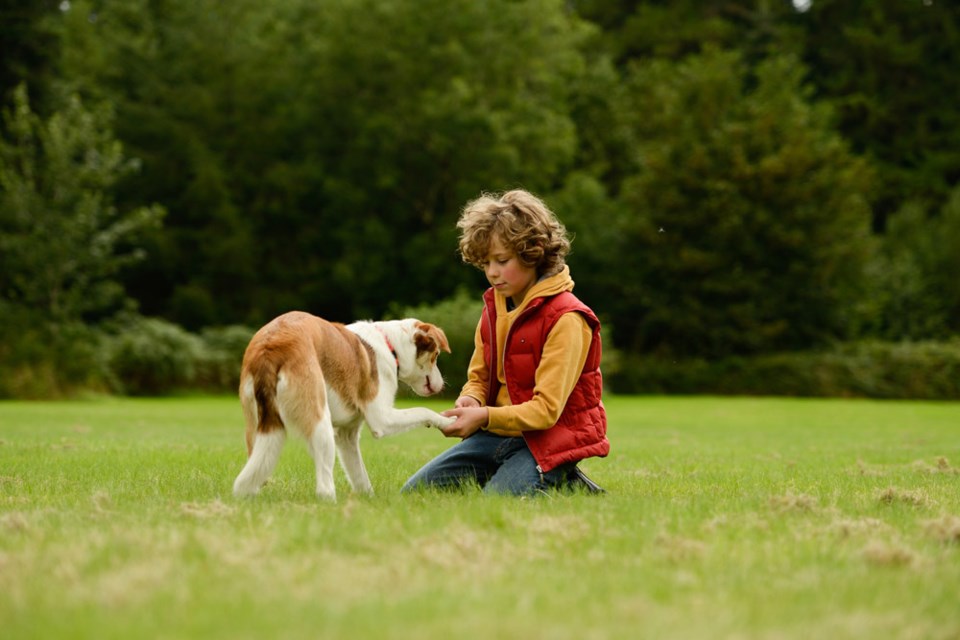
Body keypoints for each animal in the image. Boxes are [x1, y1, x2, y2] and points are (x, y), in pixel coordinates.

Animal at [233, 310, 458, 500]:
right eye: (436, 355)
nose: (442, 385)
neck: (390, 345)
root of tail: (271, 346)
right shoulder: (382, 418)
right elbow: (424, 410)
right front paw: (448, 421)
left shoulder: (346, 435)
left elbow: (360, 475)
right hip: (321, 424)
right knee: (324, 486)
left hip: (256, 429)